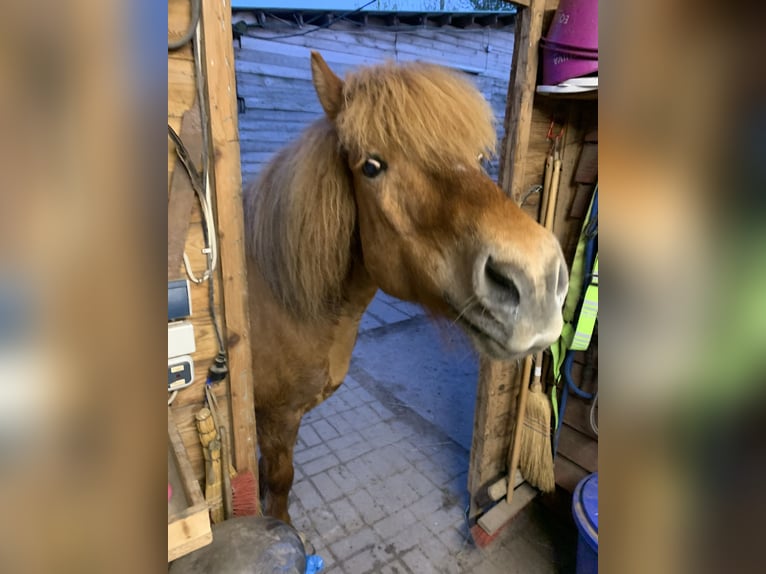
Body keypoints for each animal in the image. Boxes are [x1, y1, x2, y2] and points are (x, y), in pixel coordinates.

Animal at [246, 51, 568, 524]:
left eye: (478, 157)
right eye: (371, 167)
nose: (537, 278)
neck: (279, 298)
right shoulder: (276, 419)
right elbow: (280, 483)